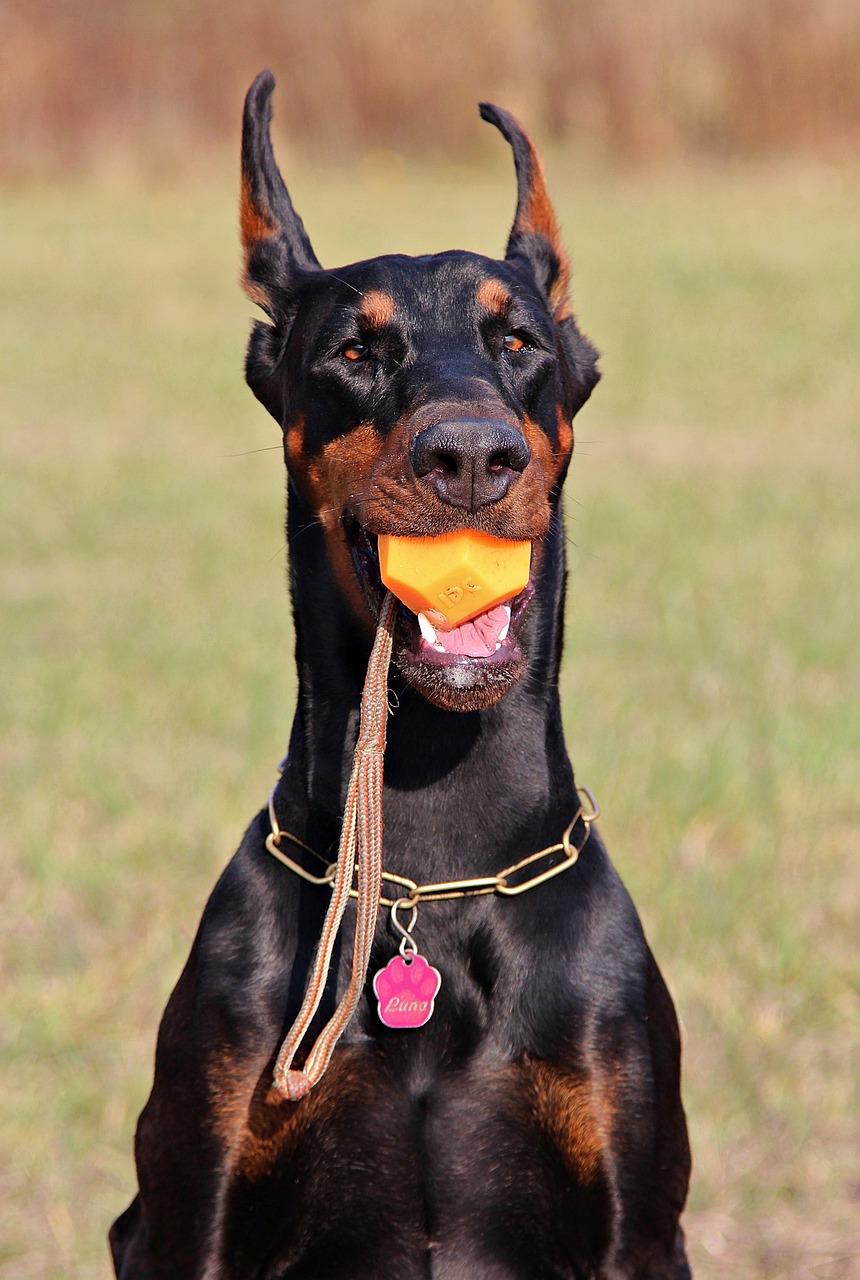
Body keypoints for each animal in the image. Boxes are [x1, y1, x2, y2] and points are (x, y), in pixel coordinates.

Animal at [109, 67, 691, 1280]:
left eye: (518, 339)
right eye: (353, 352)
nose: (469, 456)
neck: (432, 869)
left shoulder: (636, 1219)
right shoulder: (185, 1213)